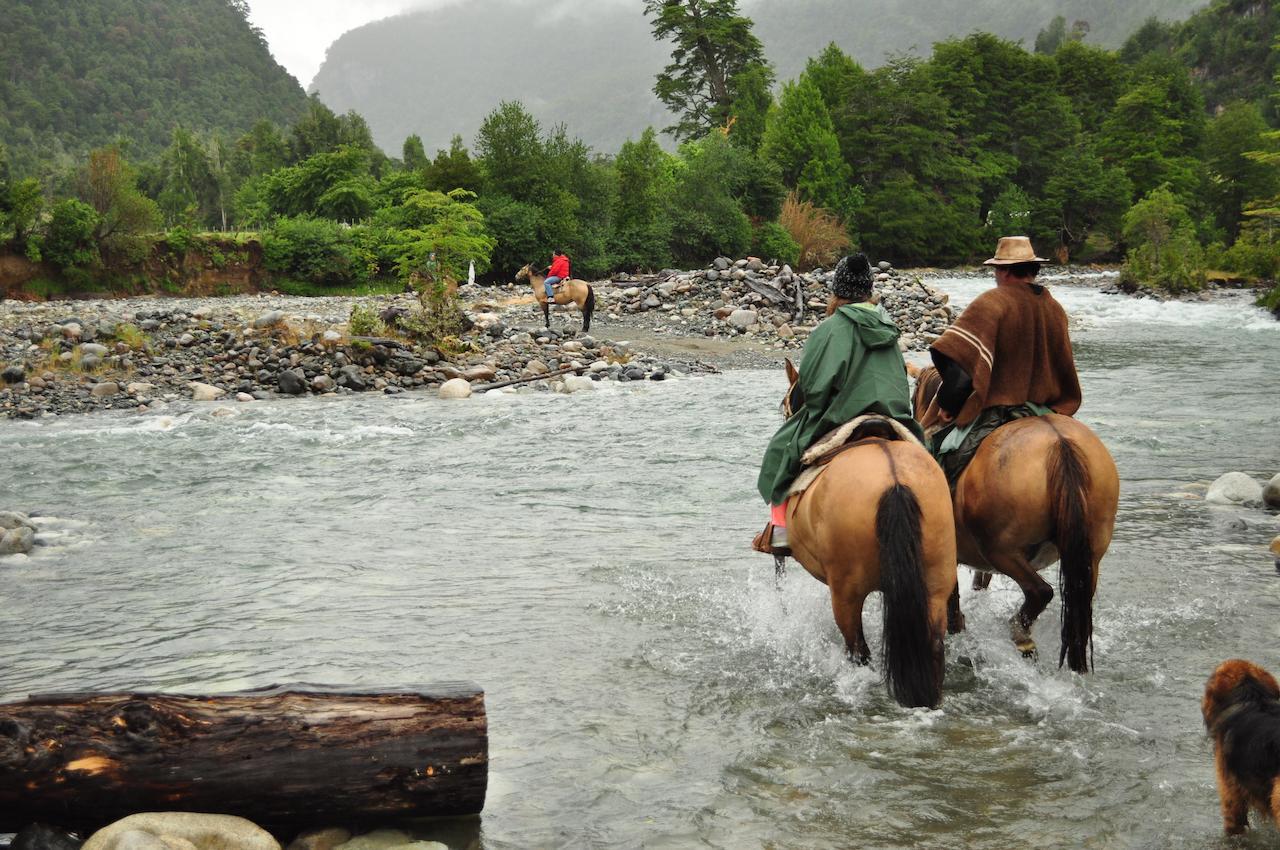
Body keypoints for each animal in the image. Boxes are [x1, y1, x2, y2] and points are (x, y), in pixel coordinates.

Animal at [768, 358, 962, 711]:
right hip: (935, 584)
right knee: (933, 646)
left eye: (786, 405)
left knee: (859, 651)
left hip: (846, 596)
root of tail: (894, 479)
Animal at [911, 366, 1121, 670]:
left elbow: (952, 604)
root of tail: (1060, 444)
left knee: (1040, 591)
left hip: (1002, 550)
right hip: (1089, 553)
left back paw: (1021, 636)